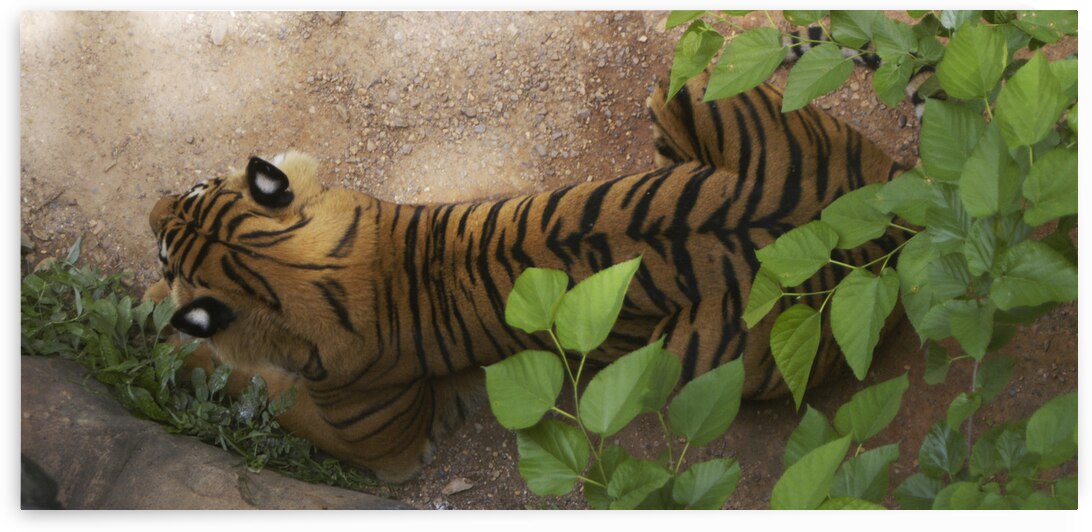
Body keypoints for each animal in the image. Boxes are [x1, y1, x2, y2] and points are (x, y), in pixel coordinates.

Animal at [144, 70, 902, 482]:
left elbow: (256, 388)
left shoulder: (383, 443)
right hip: (689, 89)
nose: (149, 208)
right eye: (191, 190)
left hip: (702, 358)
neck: (295, 261)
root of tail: (881, 230)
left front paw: (160, 330)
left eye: (164, 245)